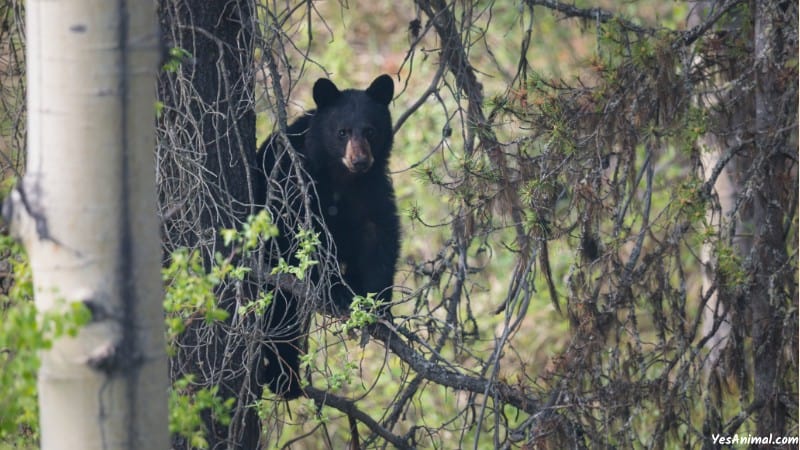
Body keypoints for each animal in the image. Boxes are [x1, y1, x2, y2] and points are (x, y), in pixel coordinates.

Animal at [255, 74, 400, 400]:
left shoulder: (372, 188)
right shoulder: (294, 181)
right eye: (342, 132)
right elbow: (304, 237)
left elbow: (379, 235)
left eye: (370, 131)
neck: (341, 177)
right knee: (280, 314)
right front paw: (336, 291)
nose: (359, 160)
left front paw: (378, 305)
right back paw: (285, 379)